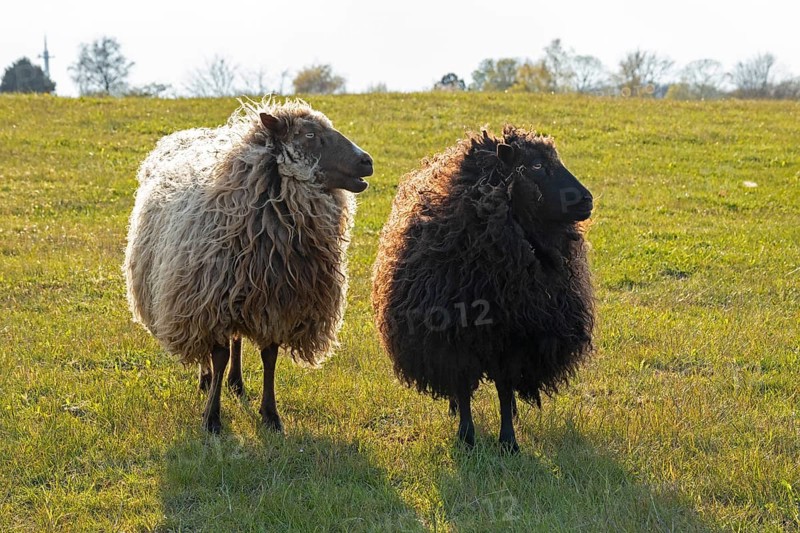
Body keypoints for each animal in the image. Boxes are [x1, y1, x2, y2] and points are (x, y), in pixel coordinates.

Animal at [124, 98, 373, 433]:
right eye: (309, 135)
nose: (367, 161)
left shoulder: (278, 303)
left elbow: (269, 357)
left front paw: (271, 416)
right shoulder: (210, 301)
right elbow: (219, 355)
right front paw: (212, 418)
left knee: (238, 339)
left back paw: (237, 383)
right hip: (195, 295)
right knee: (213, 348)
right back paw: (206, 379)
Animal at [372, 126, 594, 453]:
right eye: (536, 166)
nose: (587, 200)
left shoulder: (514, 339)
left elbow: (504, 389)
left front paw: (509, 441)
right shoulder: (454, 337)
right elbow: (463, 387)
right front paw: (466, 437)